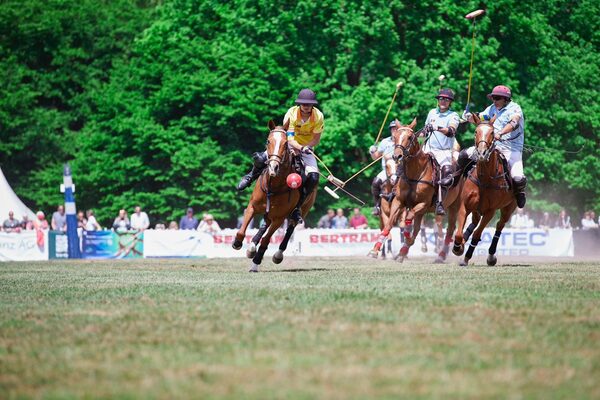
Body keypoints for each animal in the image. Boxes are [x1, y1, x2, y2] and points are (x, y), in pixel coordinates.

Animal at [233, 120, 318, 270]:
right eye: (268, 141)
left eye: (285, 143)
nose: (273, 167)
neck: (273, 185)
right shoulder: (252, 206)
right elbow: (242, 230)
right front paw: (237, 243)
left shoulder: (279, 218)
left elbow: (267, 240)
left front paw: (256, 262)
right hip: (269, 213)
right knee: (265, 225)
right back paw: (252, 246)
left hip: (302, 210)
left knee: (290, 228)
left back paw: (277, 254)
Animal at [368, 118, 462, 262]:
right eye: (395, 136)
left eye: (410, 137)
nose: (397, 156)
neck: (415, 174)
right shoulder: (398, 202)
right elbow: (389, 225)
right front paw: (375, 249)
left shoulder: (423, 204)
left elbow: (408, 220)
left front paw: (407, 235)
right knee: (418, 228)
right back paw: (403, 252)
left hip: (454, 206)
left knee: (450, 228)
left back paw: (440, 254)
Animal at [452, 114, 516, 268]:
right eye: (476, 131)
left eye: (492, 133)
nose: (481, 153)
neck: (484, 179)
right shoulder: (464, 205)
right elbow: (458, 233)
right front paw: (458, 247)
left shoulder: (490, 211)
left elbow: (477, 234)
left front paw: (466, 257)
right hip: (476, 208)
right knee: (474, 222)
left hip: (509, 208)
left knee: (499, 226)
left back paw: (491, 257)